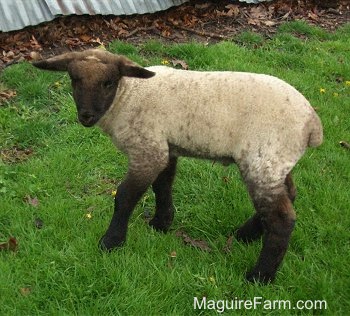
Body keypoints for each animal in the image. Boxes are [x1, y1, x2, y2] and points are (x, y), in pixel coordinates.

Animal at [32, 49, 322, 284]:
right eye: (74, 79)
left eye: (108, 82)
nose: (86, 116)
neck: (128, 95)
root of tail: (312, 124)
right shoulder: (165, 147)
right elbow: (162, 185)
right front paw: (161, 223)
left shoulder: (148, 149)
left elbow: (125, 196)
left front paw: (111, 242)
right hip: (277, 162)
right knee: (289, 195)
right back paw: (245, 235)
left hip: (263, 159)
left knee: (282, 218)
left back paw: (259, 276)